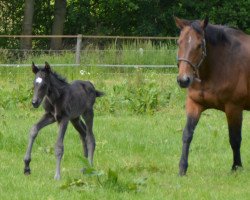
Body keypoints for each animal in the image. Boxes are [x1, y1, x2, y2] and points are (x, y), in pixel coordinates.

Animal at [175, 17, 250, 177]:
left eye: (199, 45)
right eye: (179, 42)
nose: (183, 80)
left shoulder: (234, 108)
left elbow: (235, 139)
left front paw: (236, 167)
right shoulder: (194, 104)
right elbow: (187, 134)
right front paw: (182, 168)